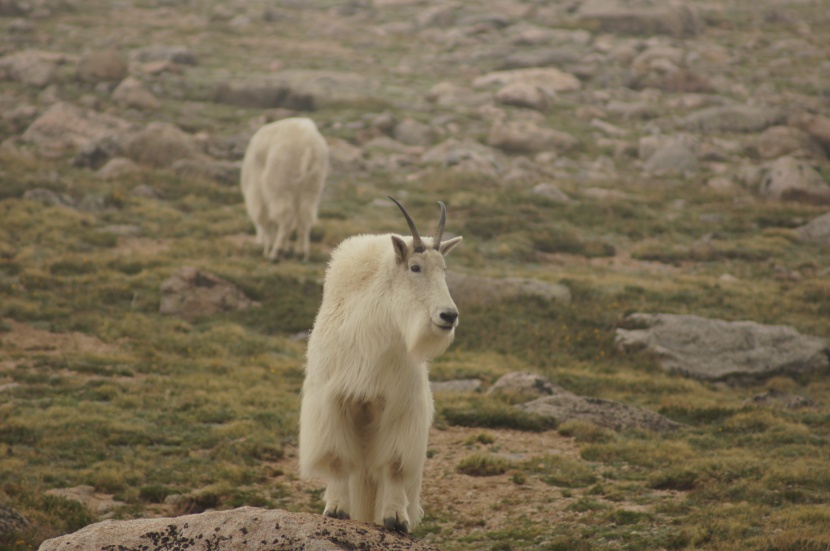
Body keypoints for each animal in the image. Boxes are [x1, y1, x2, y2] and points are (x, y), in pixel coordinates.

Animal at [240, 117, 328, 264]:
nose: (259, 241)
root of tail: (307, 146)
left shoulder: (256, 187)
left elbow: (264, 216)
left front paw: (268, 248)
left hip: (281, 175)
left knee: (285, 216)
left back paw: (276, 253)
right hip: (313, 181)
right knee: (305, 216)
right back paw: (301, 254)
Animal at [300, 196, 464, 532]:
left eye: (443, 269)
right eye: (415, 267)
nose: (449, 316)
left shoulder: (399, 408)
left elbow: (394, 465)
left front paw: (396, 518)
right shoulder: (334, 403)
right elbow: (337, 459)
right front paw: (336, 509)